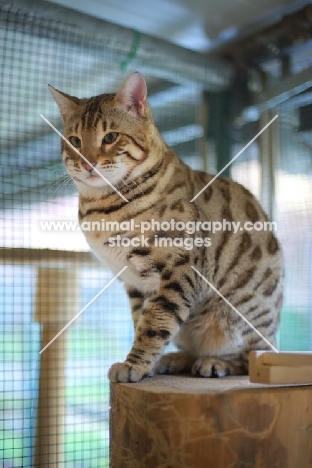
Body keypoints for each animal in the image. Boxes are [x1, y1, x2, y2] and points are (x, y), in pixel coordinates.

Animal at [48, 72, 282, 380]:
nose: (87, 163)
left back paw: (215, 362)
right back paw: (176, 359)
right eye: (75, 141)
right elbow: (142, 321)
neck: (102, 206)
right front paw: (148, 364)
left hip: (237, 318)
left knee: (251, 357)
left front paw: (134, 364)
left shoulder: (178, 269)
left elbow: (155, 324)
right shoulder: (135, 284)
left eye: (110, 136)